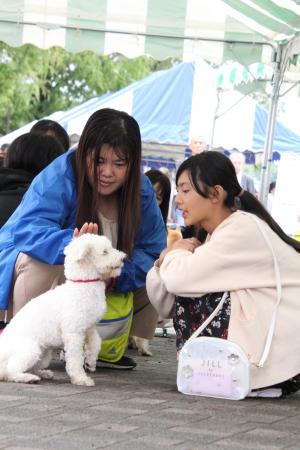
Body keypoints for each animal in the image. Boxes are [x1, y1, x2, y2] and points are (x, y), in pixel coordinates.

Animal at [0, 234, 125, 384]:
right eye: (105, 252)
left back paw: (43, 373)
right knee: (10, 371)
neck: (83, 284)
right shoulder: (73, 332)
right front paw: (80, 378)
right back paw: (28, 378)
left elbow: (96, 342)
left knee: (30, 367)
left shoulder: (89, 327)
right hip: (30, 350)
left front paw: (90, 361)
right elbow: (75, 359)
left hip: (44, 355)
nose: (123, 258)